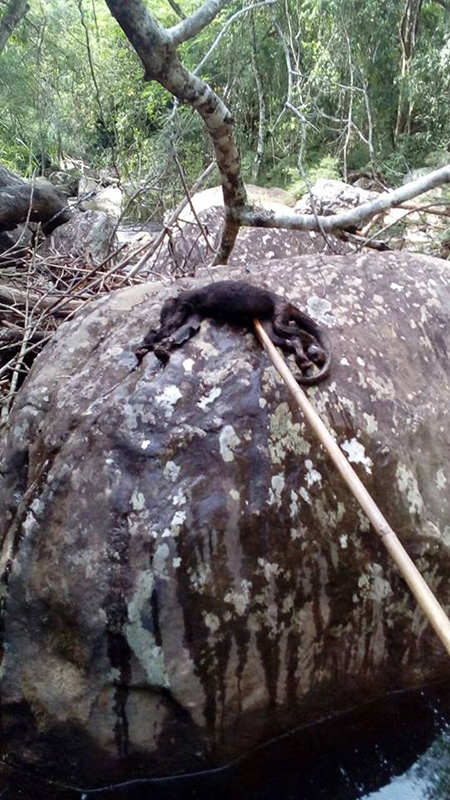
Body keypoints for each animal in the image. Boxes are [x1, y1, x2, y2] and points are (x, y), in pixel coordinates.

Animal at [136, 280, 332, 385]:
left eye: (162, 316)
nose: (161, 319)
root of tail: (286, 302)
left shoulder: (182, 307)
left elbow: (168, 329)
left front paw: (147, 342)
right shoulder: (192, 314)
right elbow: (183, 330)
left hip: (279, 314)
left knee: (299, 334)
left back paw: (315, 353)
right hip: (268, 324)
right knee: (288, 339)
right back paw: (303, 358)